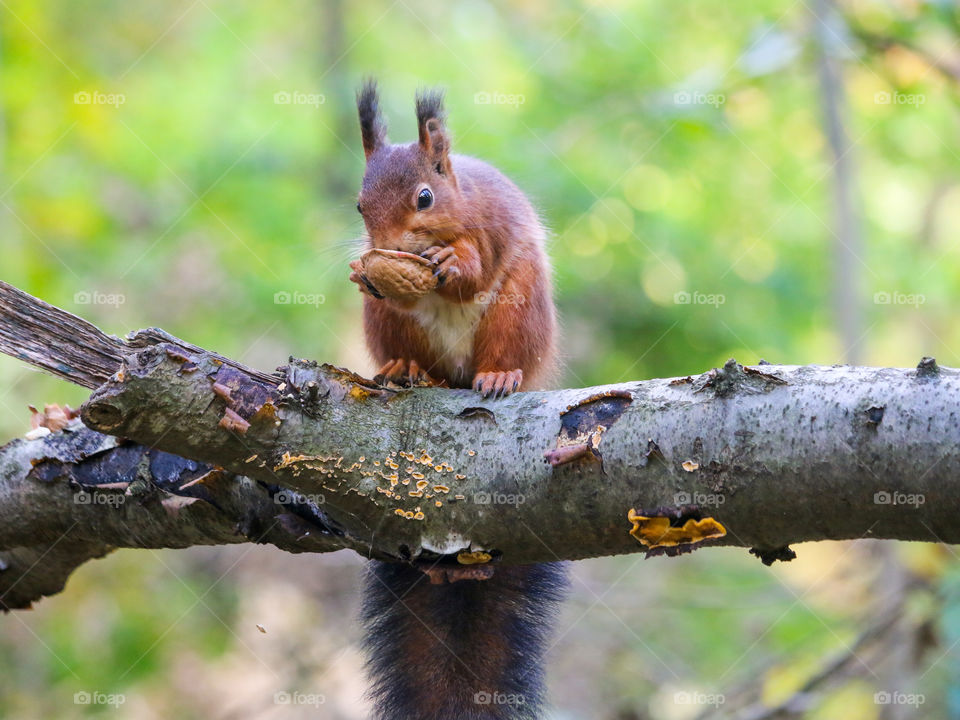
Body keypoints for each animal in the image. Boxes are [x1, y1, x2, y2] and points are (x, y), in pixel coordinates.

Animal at [350, 80, 564, 720]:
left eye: (425, 197)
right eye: (359, 205)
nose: (385, 247)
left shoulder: (488, 229)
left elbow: (473, 269)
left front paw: (453, 264)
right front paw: (365, 271)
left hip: (517, 313)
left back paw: (498, 378)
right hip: (391, 328)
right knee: (415, 355)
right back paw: (408, 371)